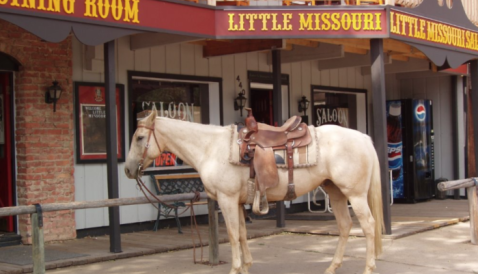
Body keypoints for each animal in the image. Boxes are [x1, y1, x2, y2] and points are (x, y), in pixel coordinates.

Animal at [124, 109, 384, 274]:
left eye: (140, 137)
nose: (127, 169)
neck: (211, 148)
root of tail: (363, 138)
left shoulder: (227, 200)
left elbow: (231, 234)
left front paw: (235, 268)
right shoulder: (238, 202)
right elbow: (241, 234)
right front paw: (245, 266)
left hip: (355, 195)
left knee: (369, 226)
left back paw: (369, 268)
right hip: (337, 192)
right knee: (345, 226)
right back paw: (332, 266)